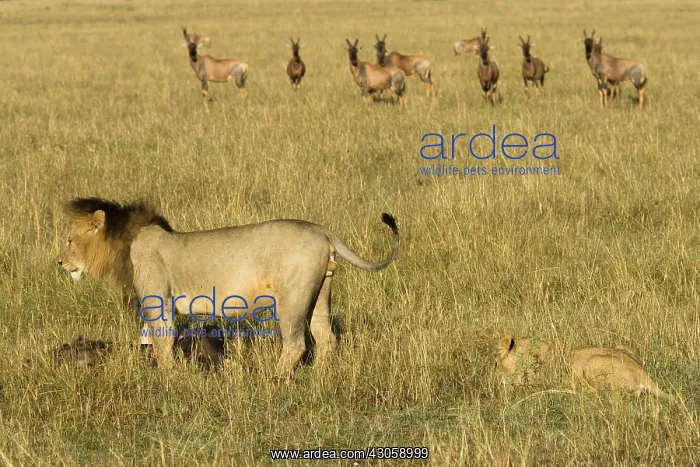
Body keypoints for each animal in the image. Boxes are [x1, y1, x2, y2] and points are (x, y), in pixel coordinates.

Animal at [58, 197, 399, 376]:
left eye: (69, 240)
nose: (60, 262)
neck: (127, 243)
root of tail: (323, 231)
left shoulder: (158, 300)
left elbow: (163, 343)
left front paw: (168, 379)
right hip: (320, 295)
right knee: (326, 338)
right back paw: (318, 378)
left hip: (292, 298)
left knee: (296, 343)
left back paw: (275, 379)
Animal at [495, 334, 667, 397]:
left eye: (496, 363)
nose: (494, 380)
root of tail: (644, 374)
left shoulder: (533, 383)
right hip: (622, 346)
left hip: (592, 362)